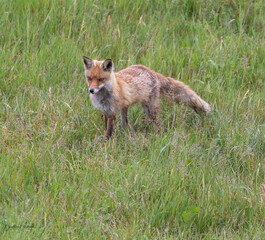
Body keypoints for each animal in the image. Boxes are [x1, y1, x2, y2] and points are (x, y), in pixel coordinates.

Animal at [82, 56, 210, 139]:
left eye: (100, 79)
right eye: (89, 78)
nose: (91, 90)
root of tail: (151, 70)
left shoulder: (112, 112)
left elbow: (108, 132)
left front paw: (106, 144)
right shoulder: (106, 111)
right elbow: (106, 128)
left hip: (150, 110)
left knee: (159, 125)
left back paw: (160, 138)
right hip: (126, 108)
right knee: (125, 123)